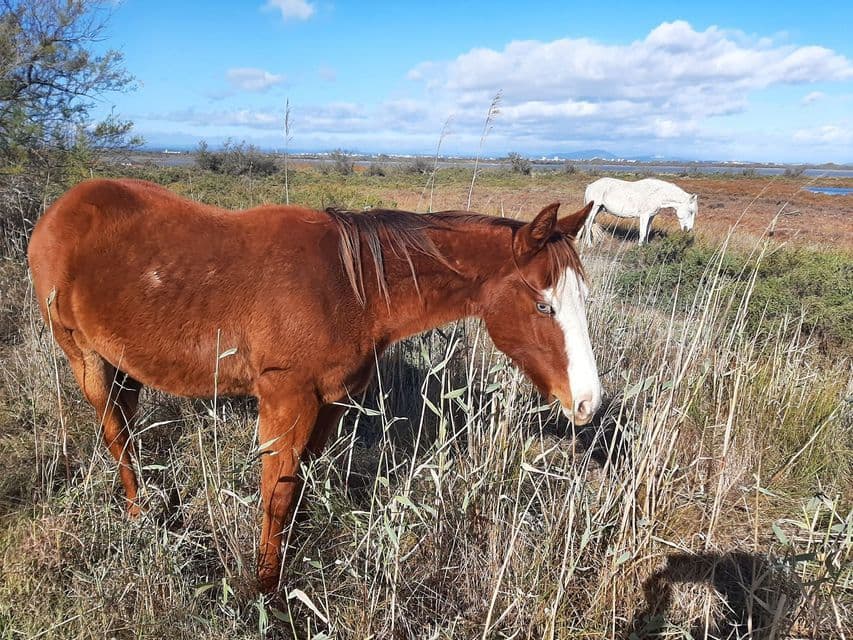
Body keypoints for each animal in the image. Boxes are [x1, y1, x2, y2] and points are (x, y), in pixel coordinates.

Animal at [27, 178, 602, 592]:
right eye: (543, 306)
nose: (588, 403)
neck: (352, 286)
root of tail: (61, 210)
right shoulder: (288, 402)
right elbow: (276, 498)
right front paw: (266, 591)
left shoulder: (329, 403)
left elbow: (296, 490)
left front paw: (283, 567)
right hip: (84, 356)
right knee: (115, 433)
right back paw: (138, 513)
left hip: (121, 363)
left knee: (125, 424)